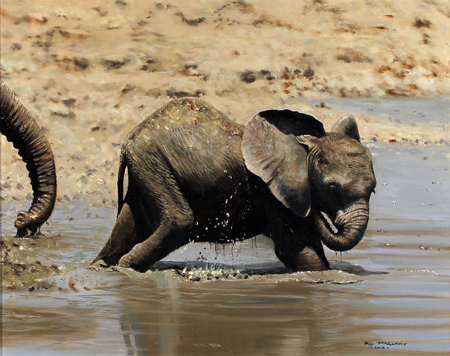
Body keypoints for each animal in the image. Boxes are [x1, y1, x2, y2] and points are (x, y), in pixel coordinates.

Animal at [94, 98, 376, 272]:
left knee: (129, 223)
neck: (305, 144)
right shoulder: (272, 192)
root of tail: (129, 140)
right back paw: (125, 267)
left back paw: (104, 267)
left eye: (373, 189)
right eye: (332, 189)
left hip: (147, 167)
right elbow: (296, 250)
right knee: (178, 221)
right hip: (153, 163)